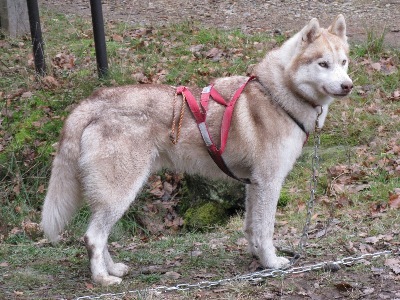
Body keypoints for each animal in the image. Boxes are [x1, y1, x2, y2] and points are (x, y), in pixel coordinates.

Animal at [42, 14, 352, 286]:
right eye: (323, 64)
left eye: (344, 62)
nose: (348, 85)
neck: (277, 95)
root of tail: (91, 102)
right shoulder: (269, 182)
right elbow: (265, 230)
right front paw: (271, 263)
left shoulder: (253, 183)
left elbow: (251, 227)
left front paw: (256, 257)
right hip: (120, 193)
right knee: (92, 237)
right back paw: (102, 279)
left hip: (115, 197)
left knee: (100, 236)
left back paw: (113, 269)